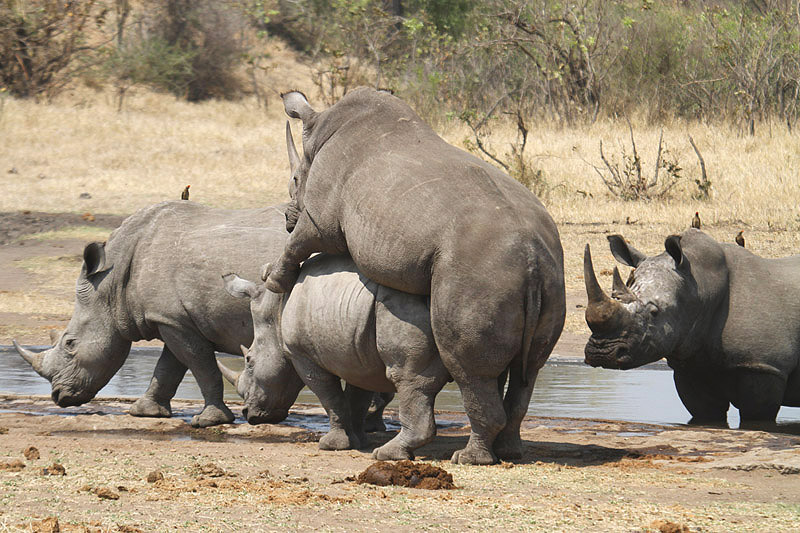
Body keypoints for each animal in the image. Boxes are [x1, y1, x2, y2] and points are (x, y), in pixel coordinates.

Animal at [580, 229, 800, 424]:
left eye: (654, 312)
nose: (601, 353)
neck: (700, 285)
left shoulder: (764, 366)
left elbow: (756, 416)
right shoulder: (689, 363)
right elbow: (705, 412)